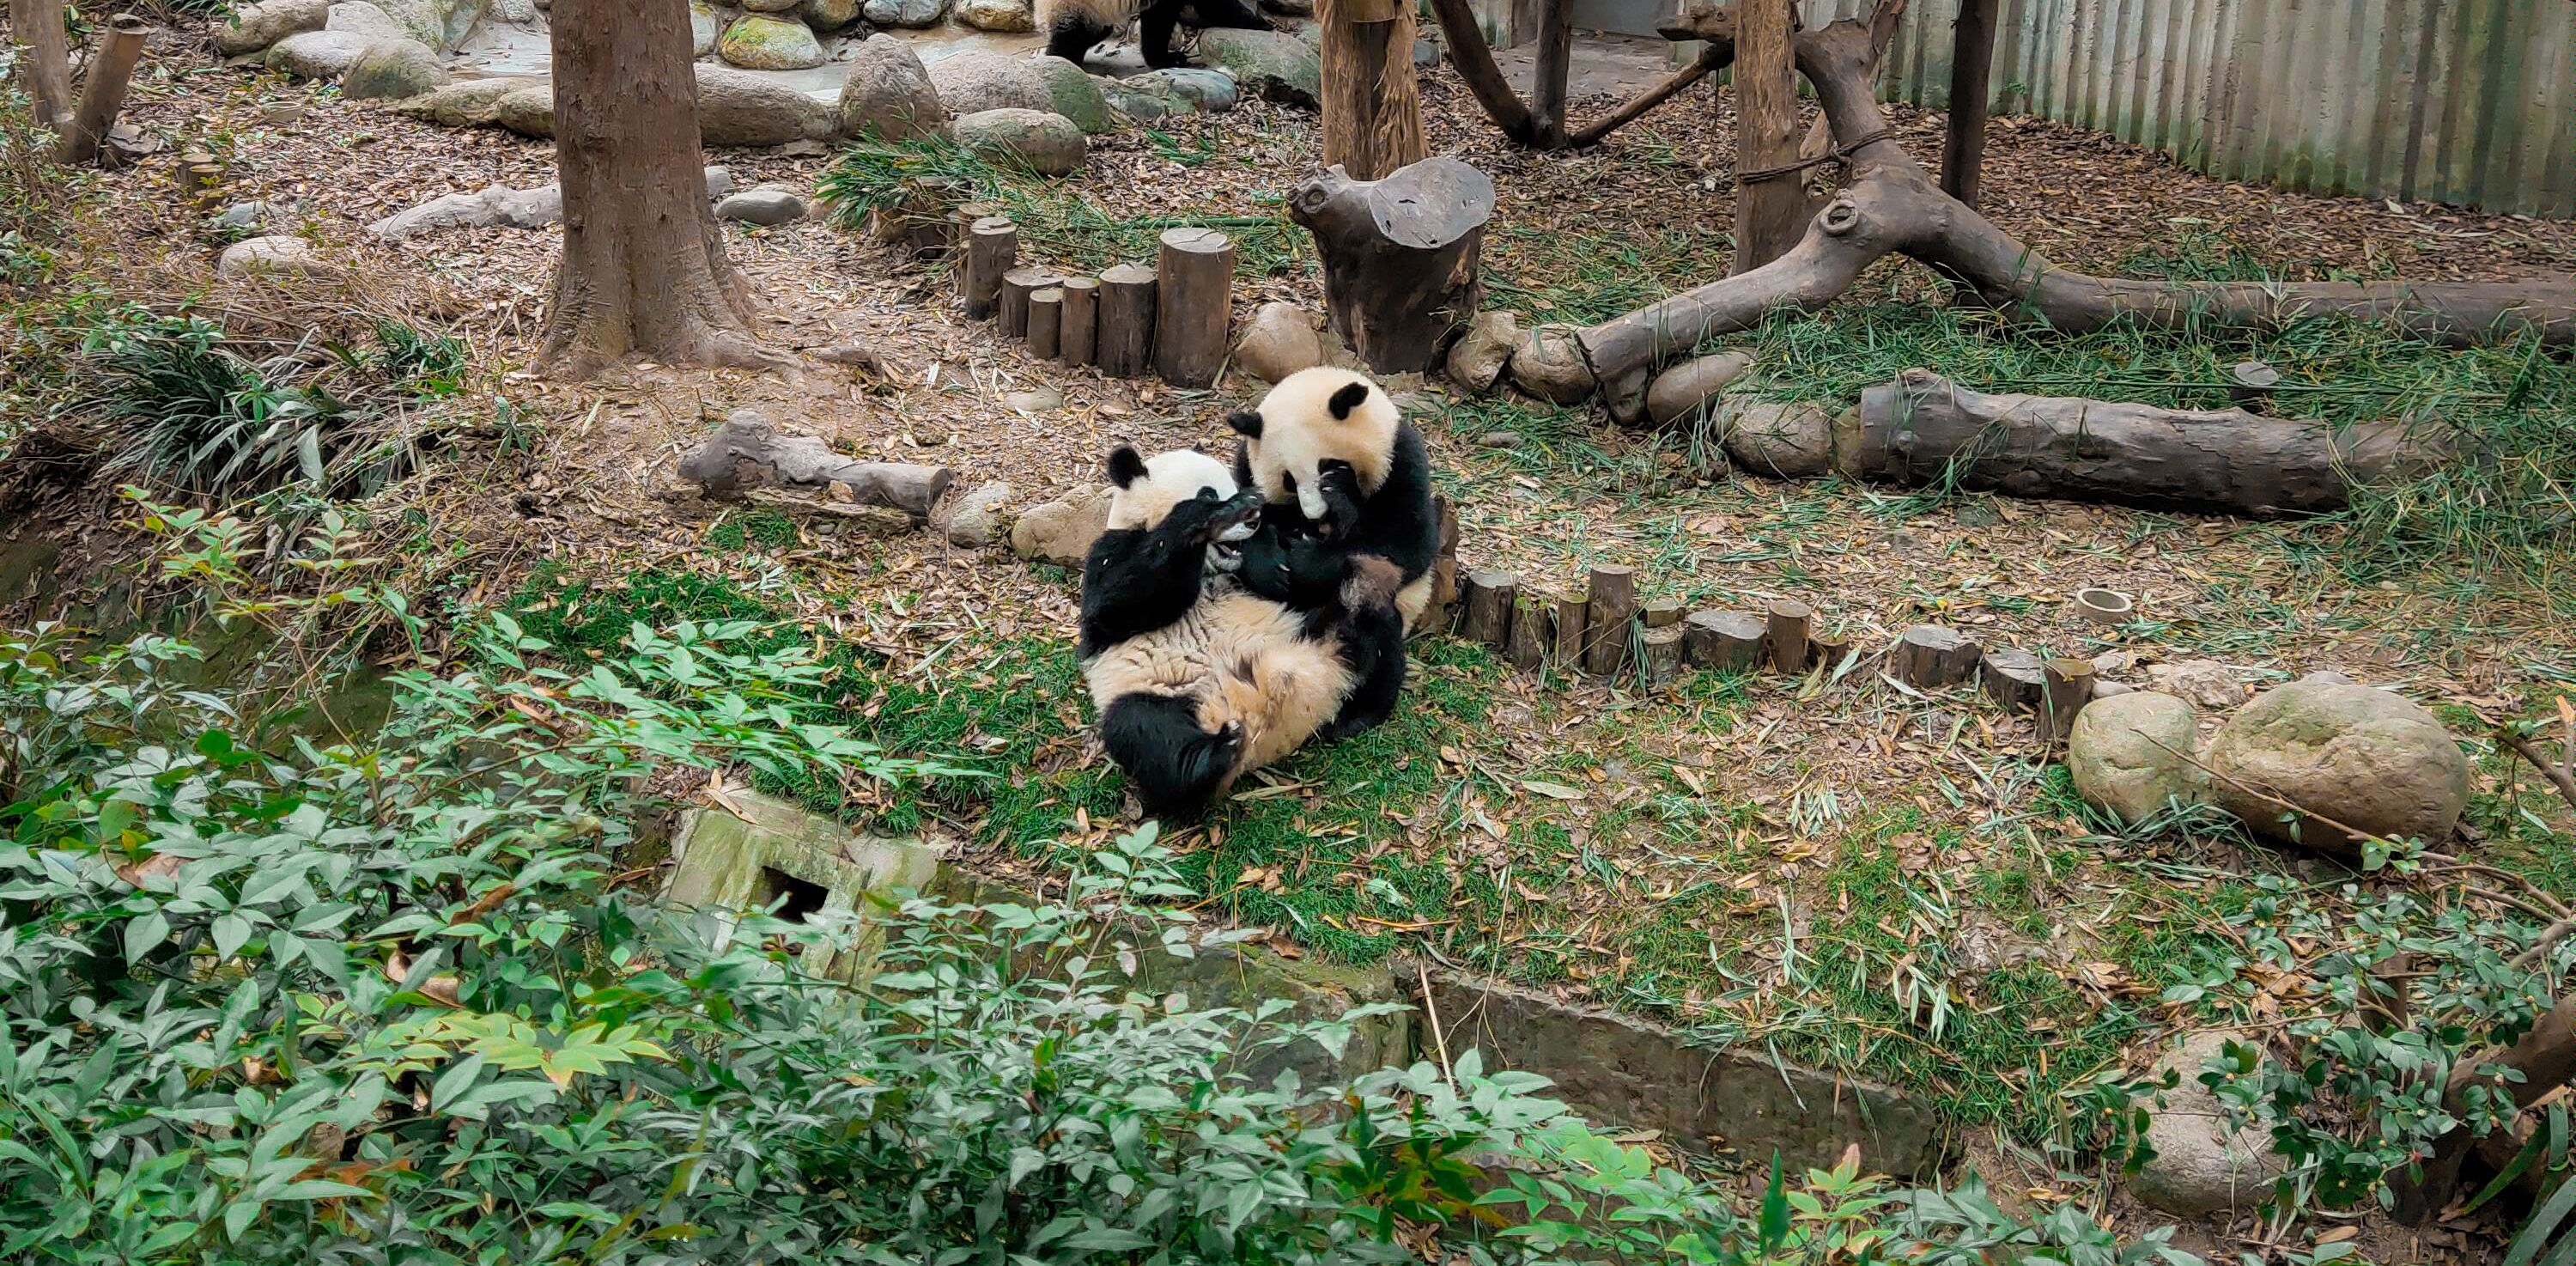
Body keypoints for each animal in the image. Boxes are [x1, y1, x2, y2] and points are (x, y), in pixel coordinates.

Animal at [1080, 445, 1405, 819]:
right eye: (1210, 492)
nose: (1252, 519)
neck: (1209, 568)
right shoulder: (1110, 554)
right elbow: (1120, 604)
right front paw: (1207, 516)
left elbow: (1301, 573)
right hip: (1159, 692)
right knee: (1143, 730)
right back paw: (1213, 759)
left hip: (1310, 630)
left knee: (1375, 629)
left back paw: (1358, 710)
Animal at [1224, 366, 1440, 739]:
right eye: (1289, 480)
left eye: (1329, 464)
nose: (1314, 515)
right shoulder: (1246, 465)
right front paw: (1270, 563)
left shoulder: (1400, 463)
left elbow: (1408, 545)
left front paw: (1308, 557)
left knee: (1375, 631)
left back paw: (1357, 715)